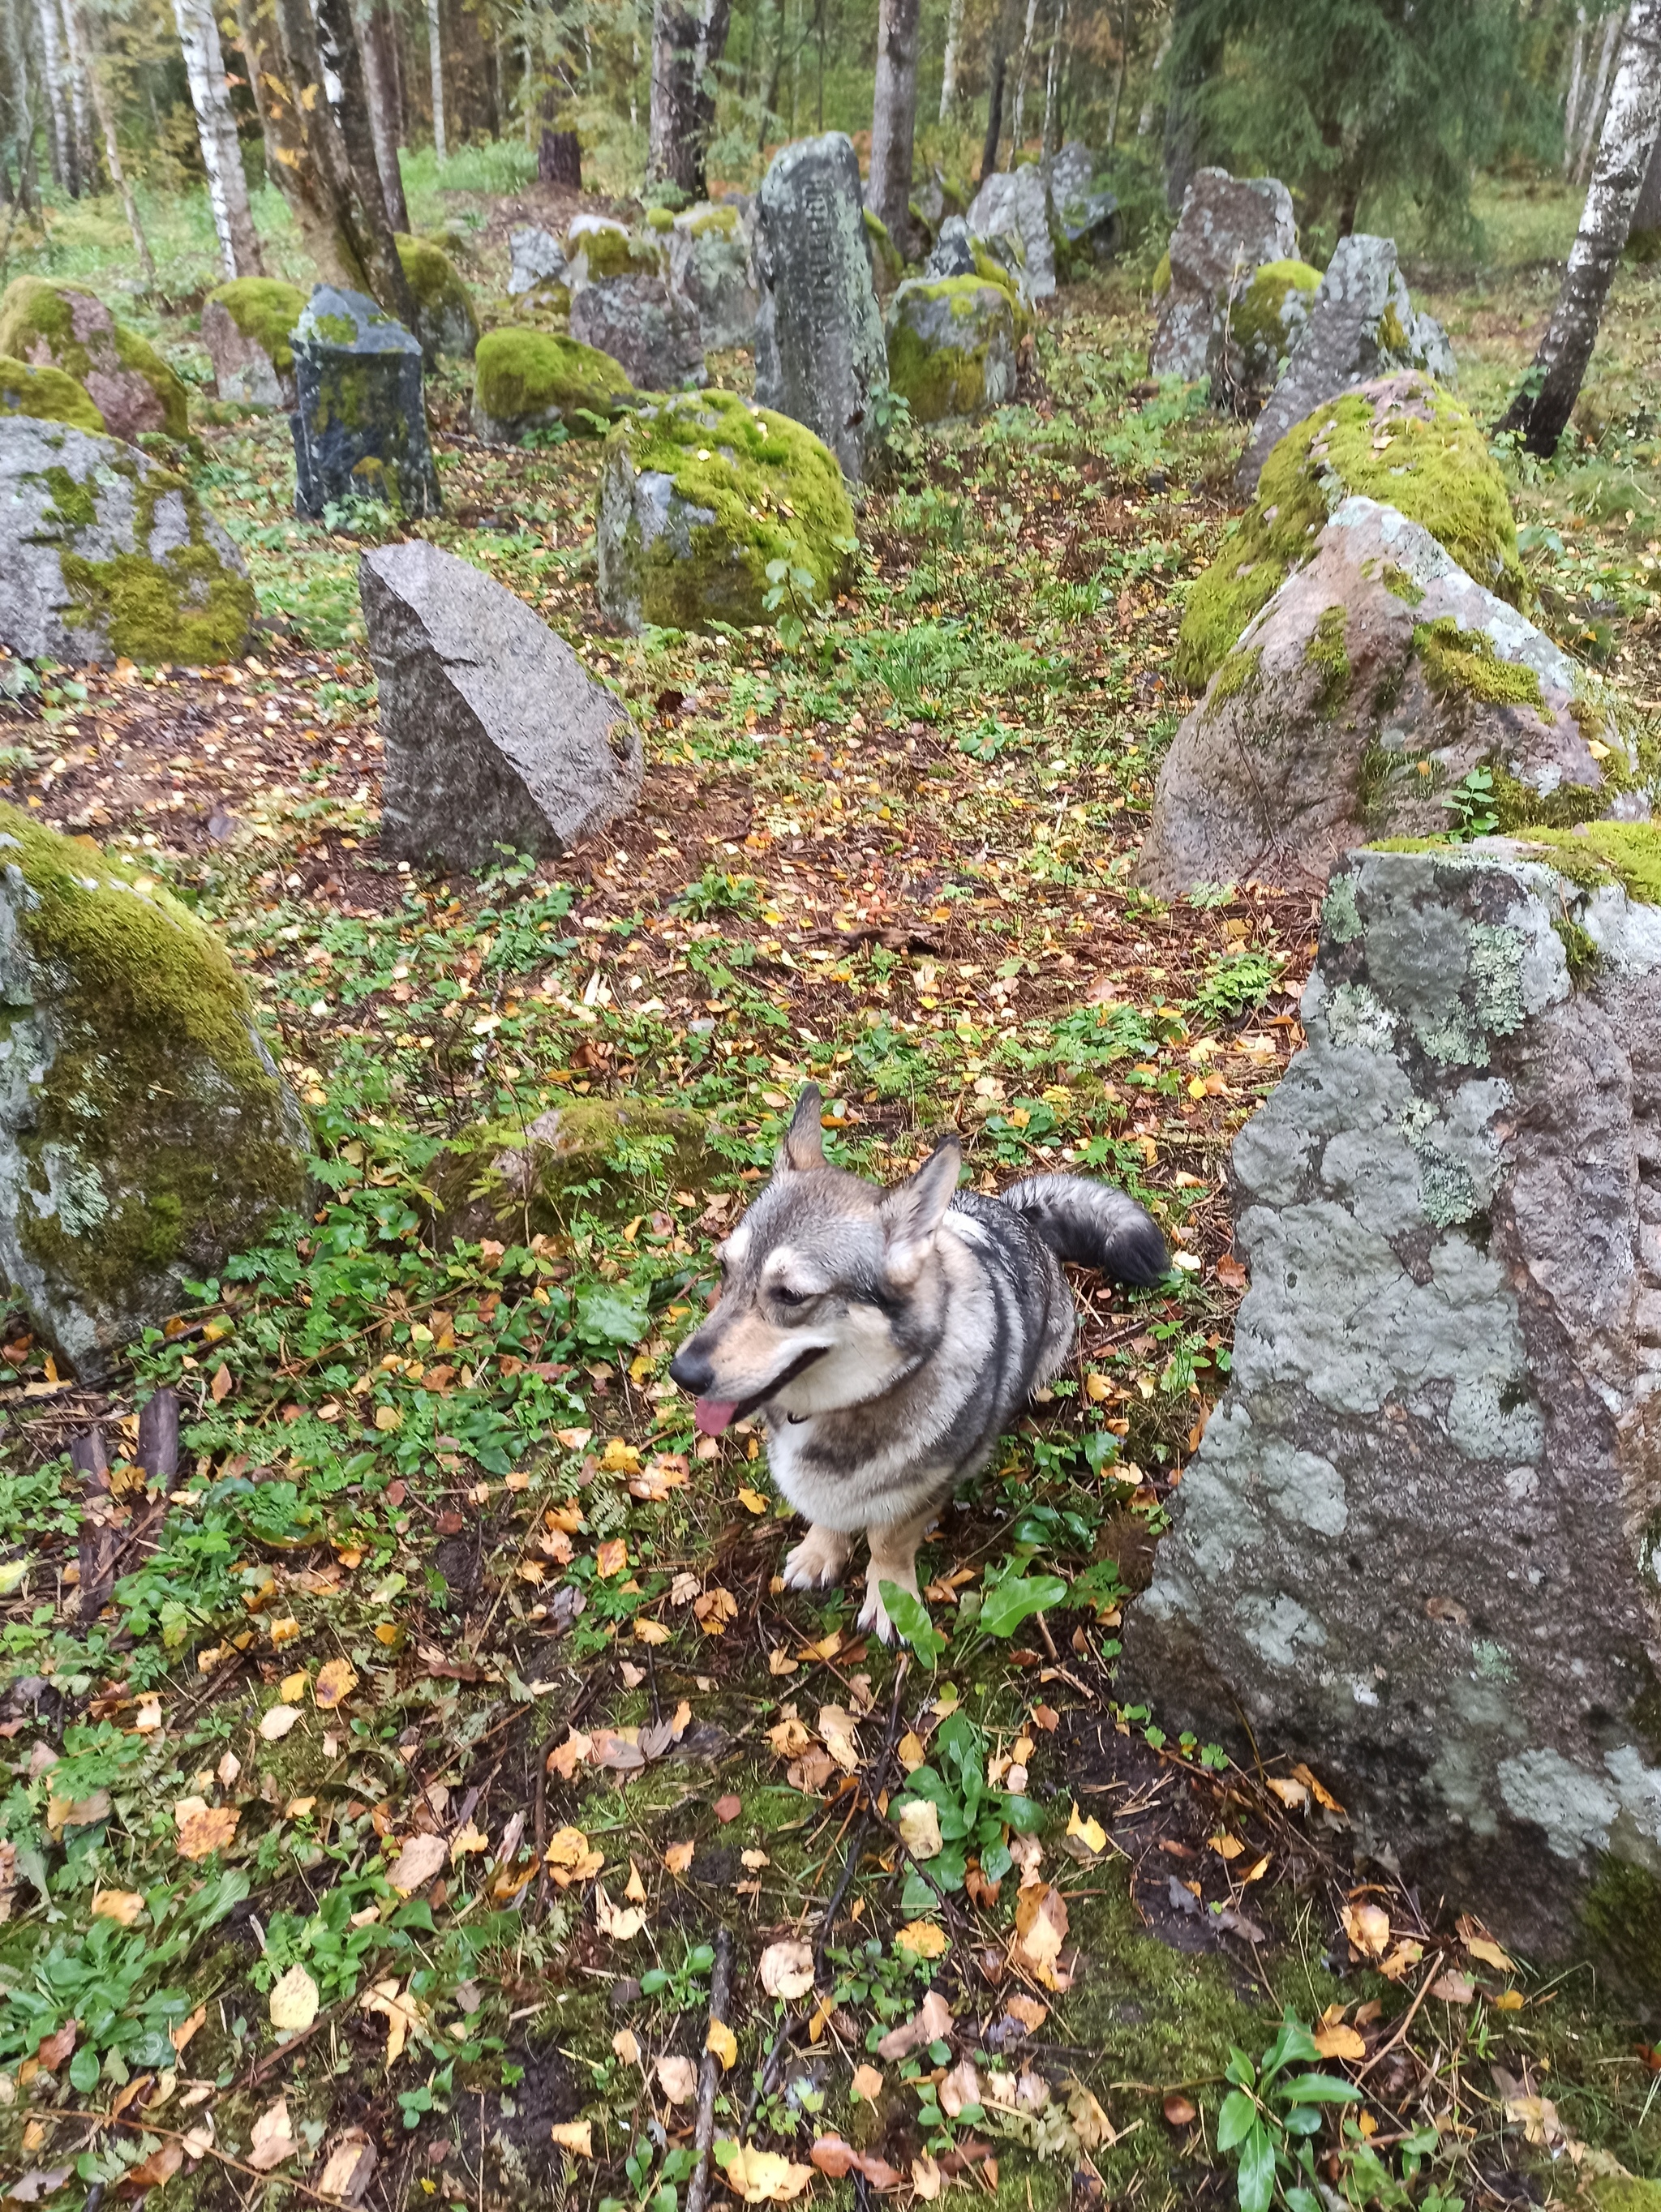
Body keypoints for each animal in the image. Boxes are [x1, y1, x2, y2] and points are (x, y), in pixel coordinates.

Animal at [667, 1088, 1167, 1645]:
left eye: (791, 1295)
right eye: (724, 1269)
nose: (681, 1374)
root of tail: (1016, 1213)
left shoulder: (923, 1489)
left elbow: (888, 1542)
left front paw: (890, 1598)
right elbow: (829, 1514)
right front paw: (823, 1550)